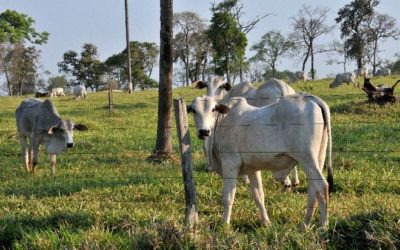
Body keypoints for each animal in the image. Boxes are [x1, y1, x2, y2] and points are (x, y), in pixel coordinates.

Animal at [188, 94, 334, 229]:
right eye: (194, 110)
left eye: (213, 109)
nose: (204, 131)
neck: (222, 122)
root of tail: (310, 98)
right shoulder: (252, 169)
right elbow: (258, 195)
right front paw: (266, 222)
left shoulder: (230, 164)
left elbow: (228, 197)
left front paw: (225, 224)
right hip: (318, 158)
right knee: (313, 190)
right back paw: (305, 224)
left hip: (307, 159)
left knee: (322, 186)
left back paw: (323, 225)